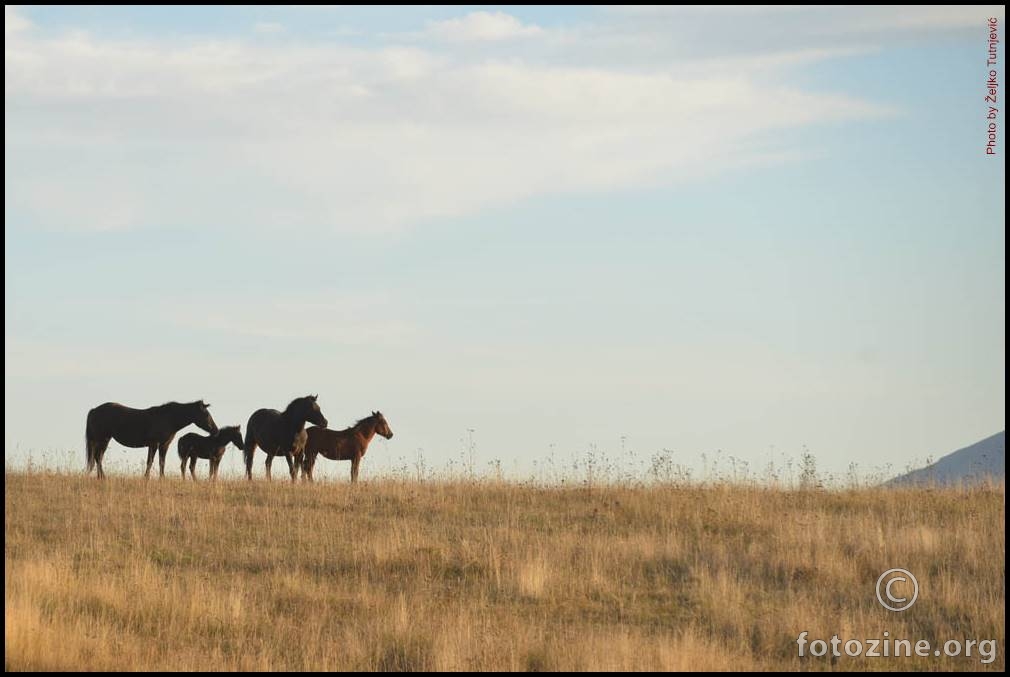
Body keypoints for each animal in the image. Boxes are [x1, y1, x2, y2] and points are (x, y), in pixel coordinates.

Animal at [85, 400, 217, 480]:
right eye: (206, 414)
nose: (215, 430)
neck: (168, 418)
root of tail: (94, 410)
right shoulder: (154, 444)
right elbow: (150, 461)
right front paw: (146, 478)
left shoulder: (164, 444)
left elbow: (162, 462)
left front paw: (162, 478)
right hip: (102, 439)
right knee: (98, 457)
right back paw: (103, 477)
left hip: (104, 439)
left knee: (98, 457)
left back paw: (100, 477)